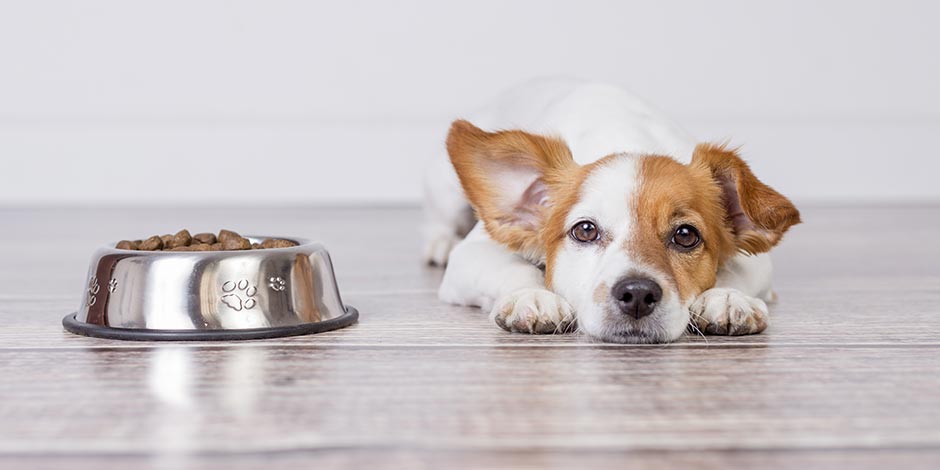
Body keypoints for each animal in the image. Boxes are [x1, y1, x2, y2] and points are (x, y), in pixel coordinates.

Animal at [422, 76, 796, 342]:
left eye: (686, 235)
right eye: (585, 230)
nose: (637, 293)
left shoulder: (758, 262)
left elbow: (736, 272)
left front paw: (727, 298)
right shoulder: (473, 253)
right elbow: (514, 268)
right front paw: (533, 296)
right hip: (446, 194)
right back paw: (438, 243)